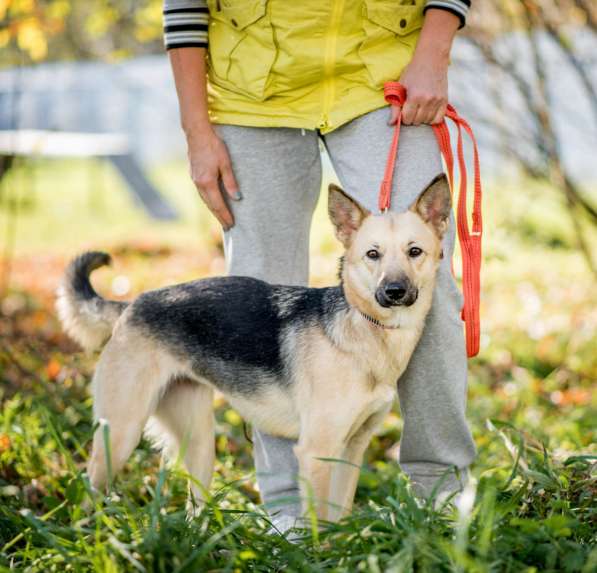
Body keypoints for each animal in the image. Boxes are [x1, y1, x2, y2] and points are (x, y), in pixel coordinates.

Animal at [57, 174, 452, 524]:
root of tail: (132, 305)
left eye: (414, 252)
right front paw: (319, 553)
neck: (363, 330)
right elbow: (322, 524)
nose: (394, 292)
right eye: (373, 254)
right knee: (89, 491)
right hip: (120, 435)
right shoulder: (316, 452)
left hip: (199, 443)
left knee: (194, 509)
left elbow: (339, 517)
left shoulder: (352, 450)